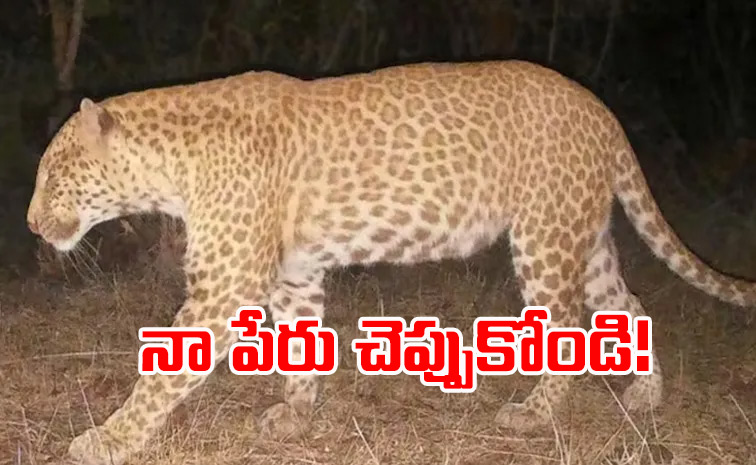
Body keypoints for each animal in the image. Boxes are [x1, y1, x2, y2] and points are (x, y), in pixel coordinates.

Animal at [27, 60, 755, 464]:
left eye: (55, 175)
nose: (30, 223)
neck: (168, 165)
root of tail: (601, 109)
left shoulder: (224, 283)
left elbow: (162, 373)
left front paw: (107, 441)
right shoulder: (294, 271)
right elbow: (299, 344)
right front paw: (295, 415)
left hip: (545, 238)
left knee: (569, 324)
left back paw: (534, 414)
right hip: (585, 235)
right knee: (630, 305)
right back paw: (646, 394)